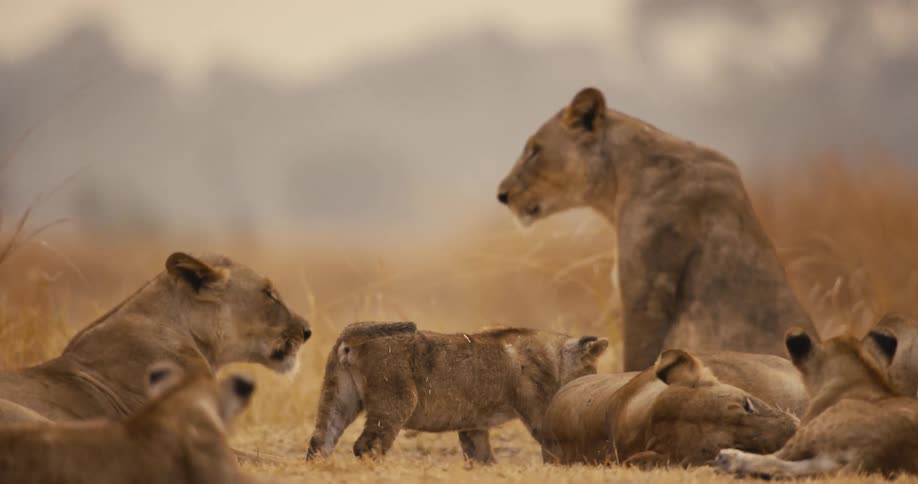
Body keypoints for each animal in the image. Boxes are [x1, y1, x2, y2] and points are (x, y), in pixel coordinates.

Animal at [305, 322, 609, 463]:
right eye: (591, 371)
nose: (590, 390)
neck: (555, 357)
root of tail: (351, 331)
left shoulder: (472, 425)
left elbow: (482, 458)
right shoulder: (539, 413)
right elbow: (553, 446)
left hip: (338, 395)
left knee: (321, 438)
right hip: (396, 400)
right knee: (367, 445)